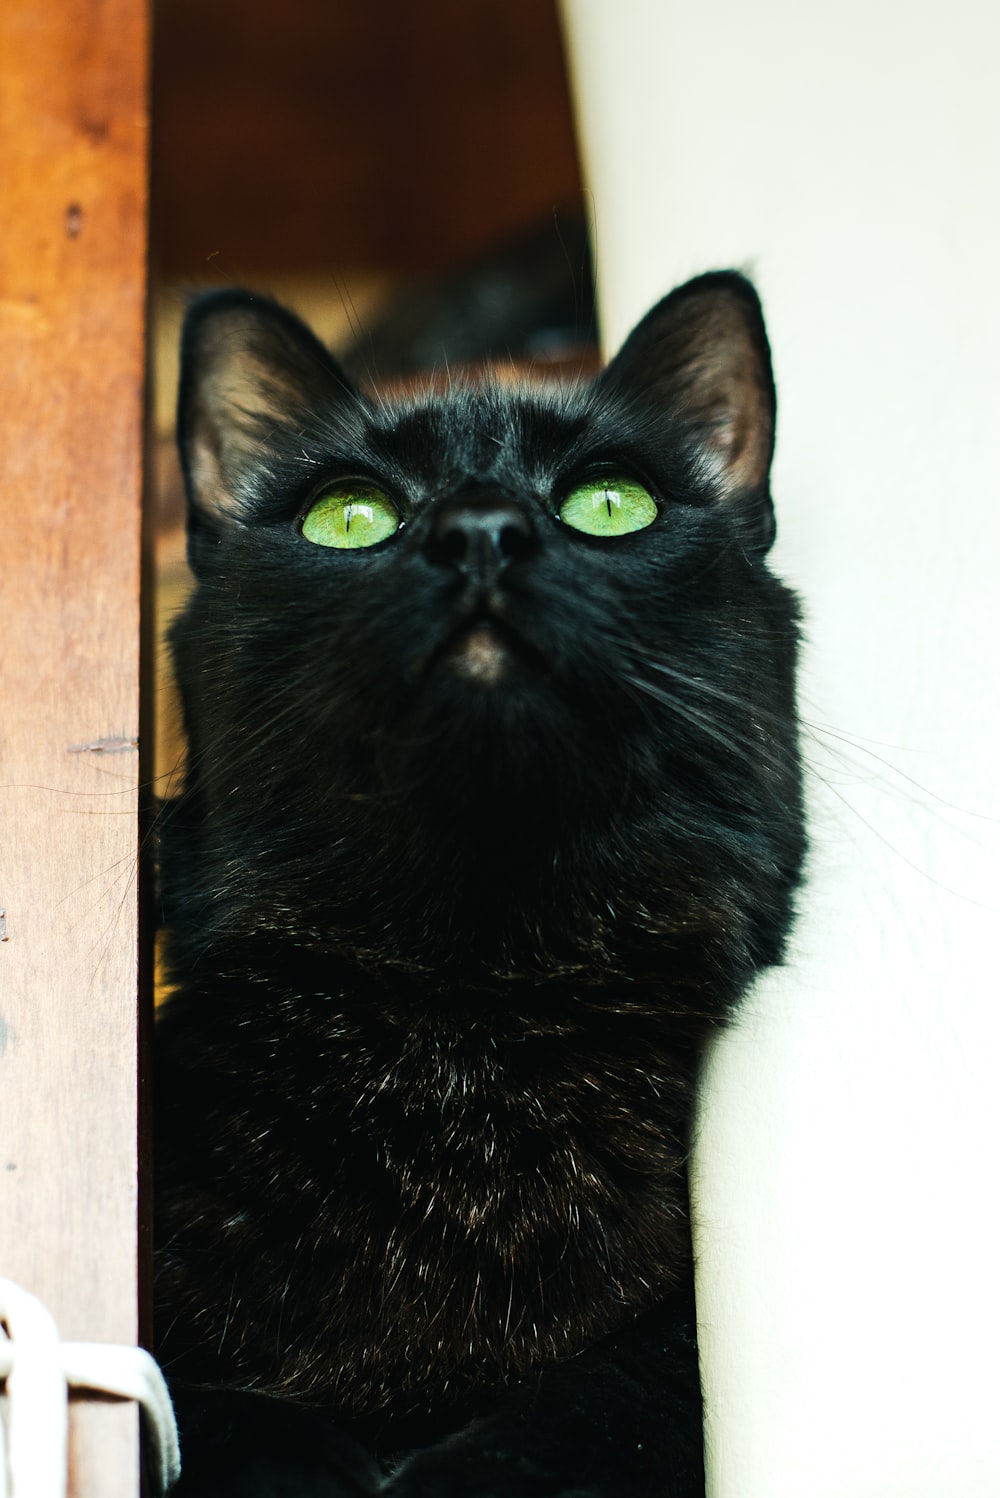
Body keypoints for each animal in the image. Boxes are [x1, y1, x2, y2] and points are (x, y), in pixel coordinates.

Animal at [154, 275, 802, 1492]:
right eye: (348, 515)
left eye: (610, 503)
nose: (481, 533)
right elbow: (239, 1419)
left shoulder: (666, 1365)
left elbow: (588, 1410)